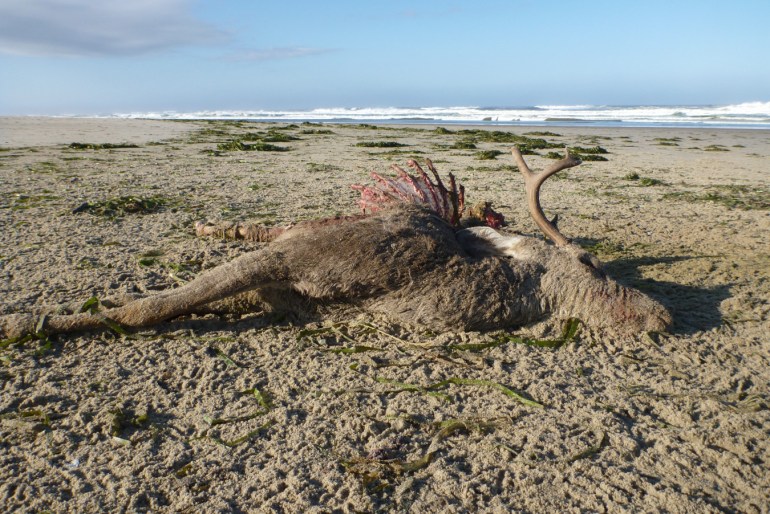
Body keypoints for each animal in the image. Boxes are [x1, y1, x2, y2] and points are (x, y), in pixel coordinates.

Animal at [0, 148, 671, 340]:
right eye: (588, 260)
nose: (663, 317)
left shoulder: (283, 286)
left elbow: (170, 304)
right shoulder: (295, 259)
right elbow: (153, 306)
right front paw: (29, 323)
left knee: (260, 228)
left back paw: (203, 229)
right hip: (306, 235)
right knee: (262, 229)